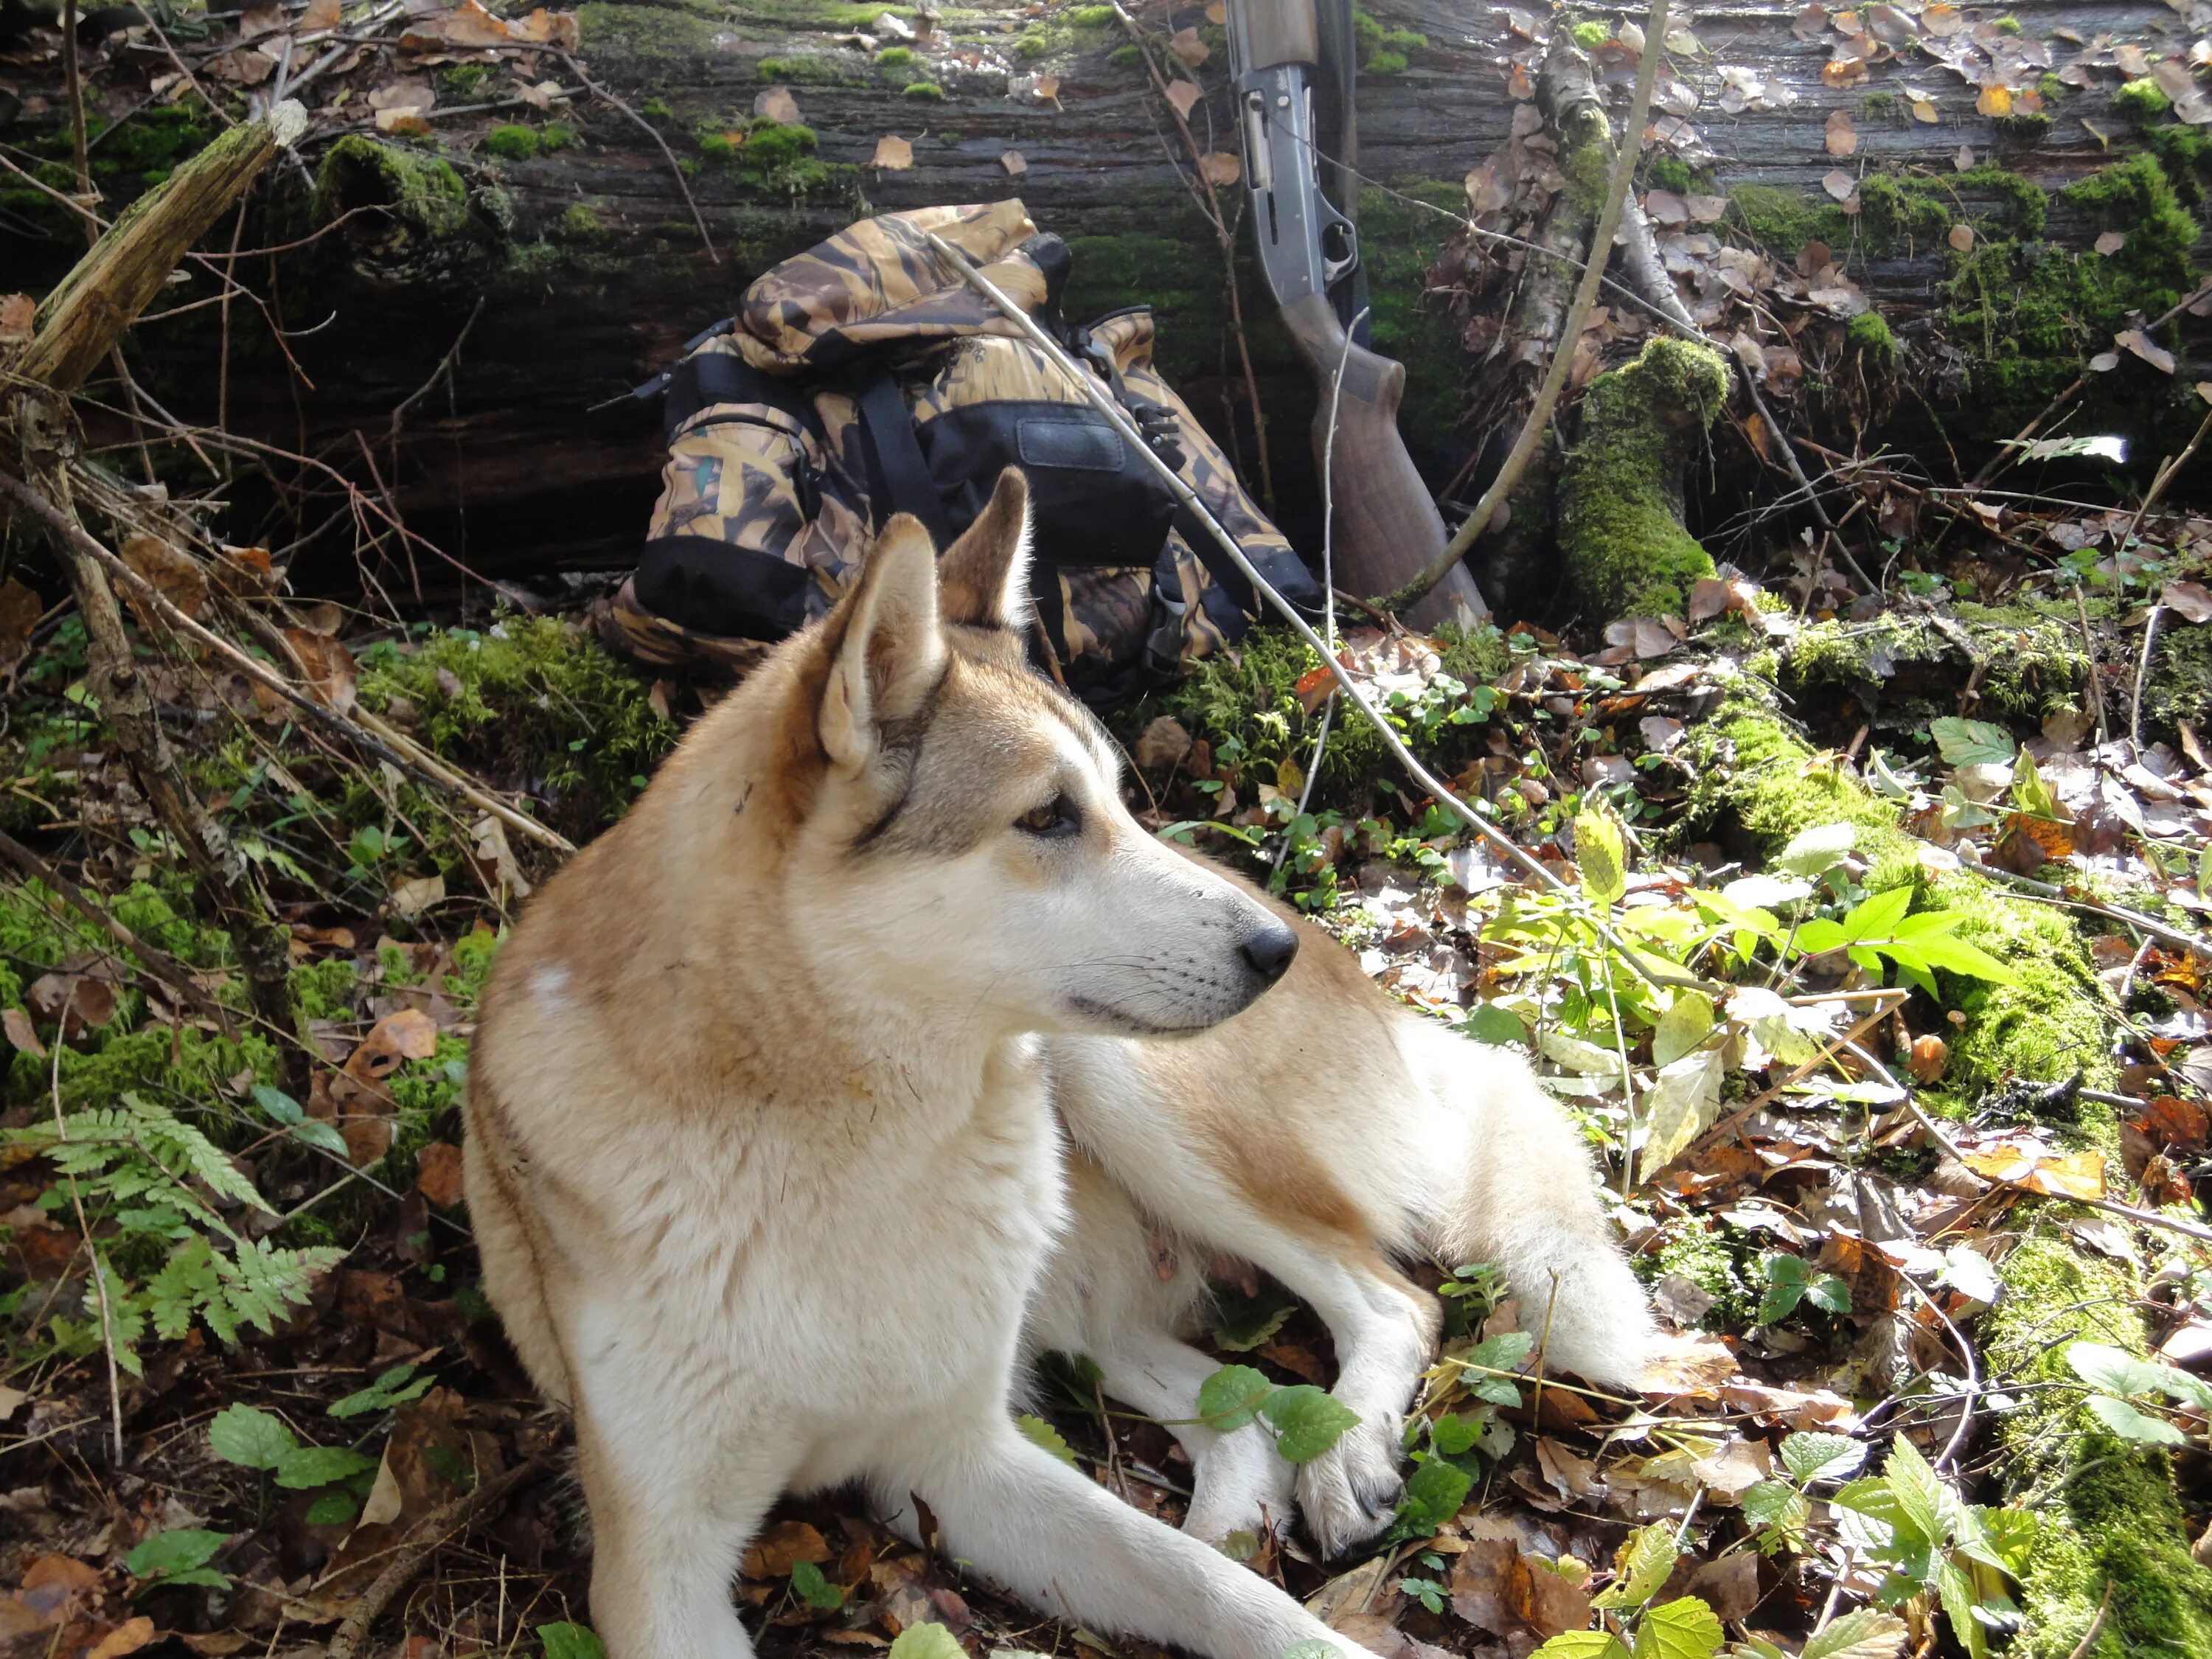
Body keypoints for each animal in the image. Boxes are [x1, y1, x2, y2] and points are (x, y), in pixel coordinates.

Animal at [462, 471, 1646, 1659]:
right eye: (1046, 816)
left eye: (1120, 799)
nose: (1273, 953)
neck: (841, 1136)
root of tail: (1379, 996)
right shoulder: (668, 1565)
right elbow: (1204, 1573)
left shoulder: (957, 1454)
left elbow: (1228, 1597)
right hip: (1087, 1287)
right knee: (1243, 1412)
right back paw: (1245, 1506)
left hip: (1121, 1087)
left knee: (1388, 1302)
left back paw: (1345, 1452)